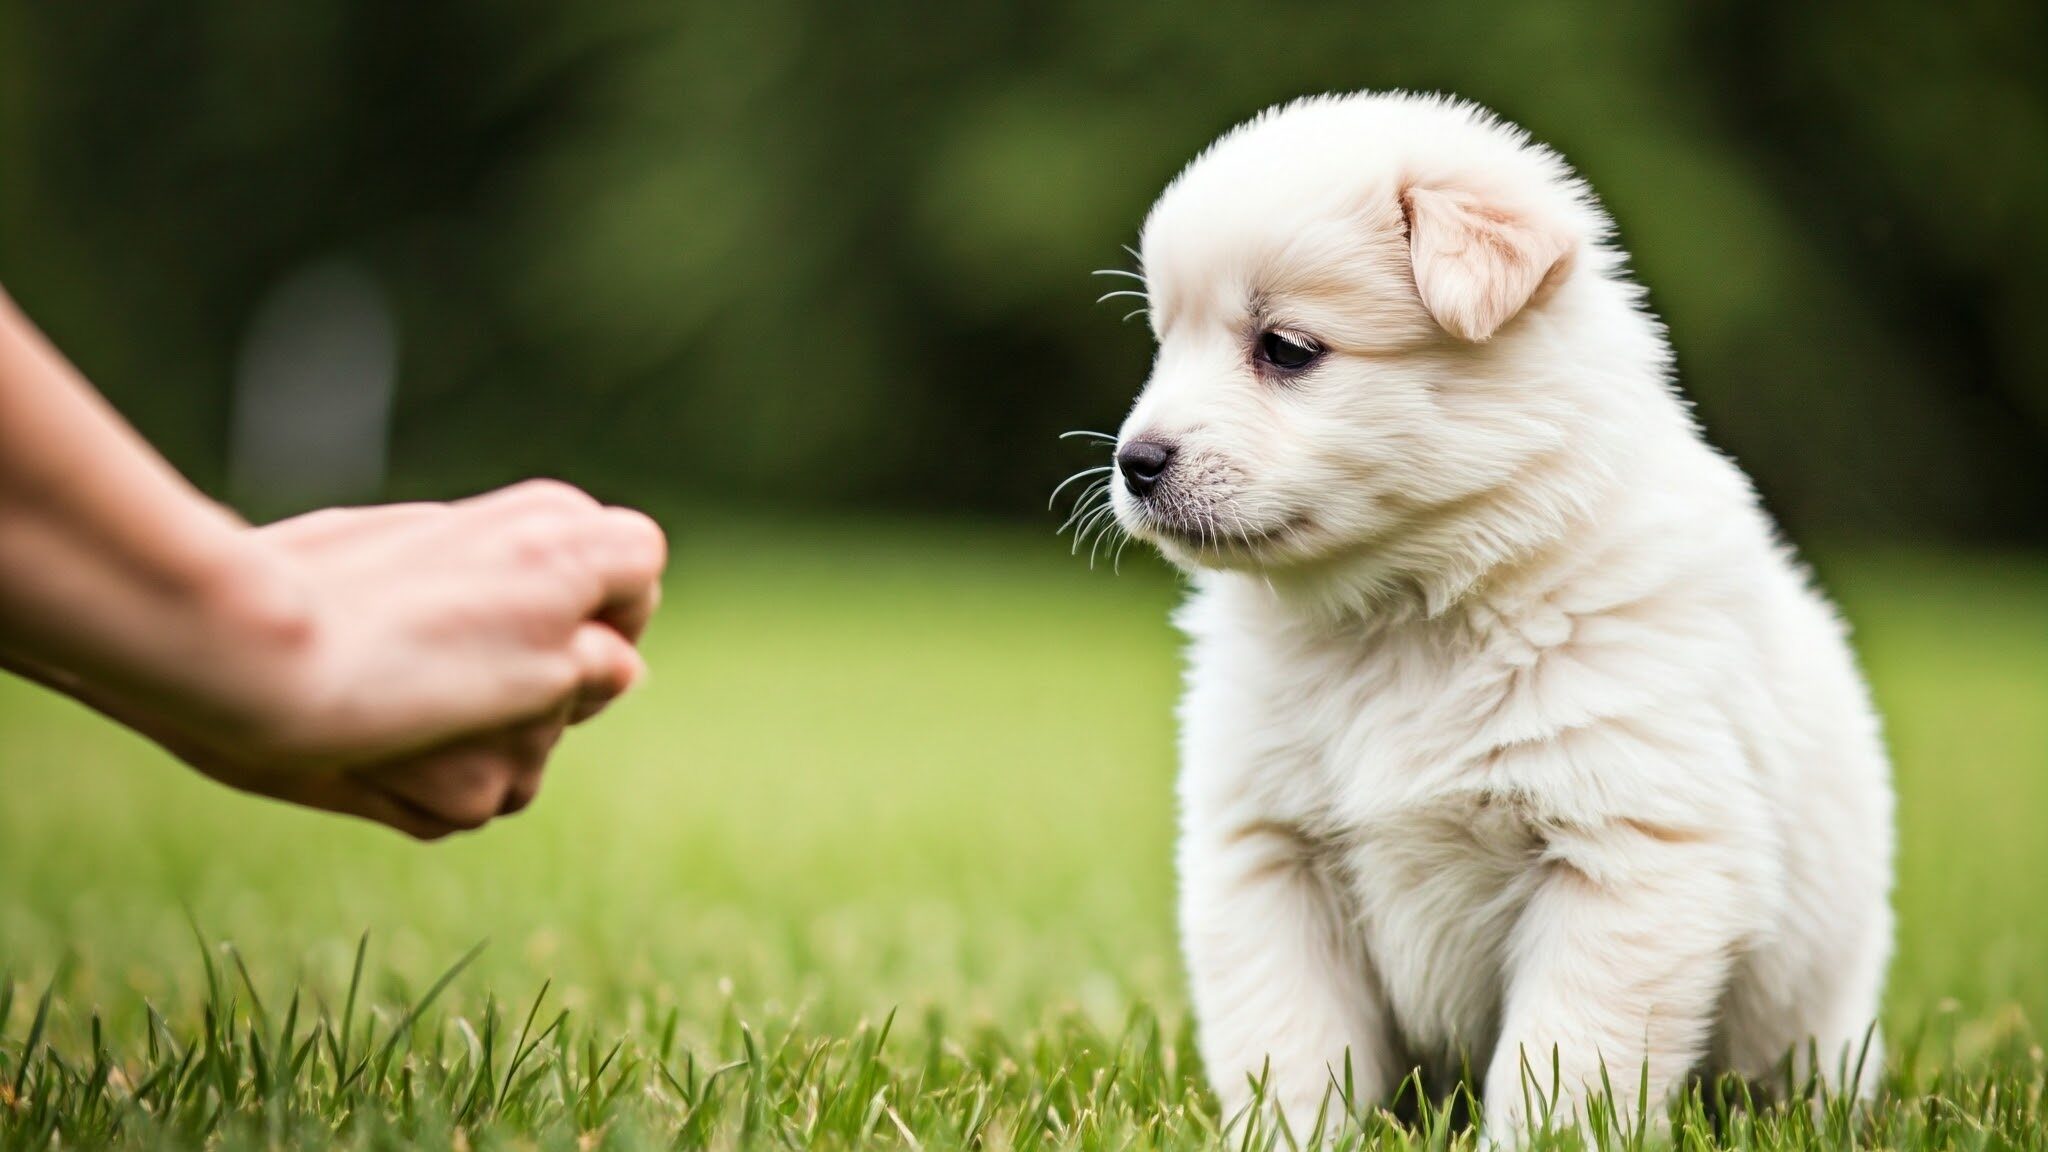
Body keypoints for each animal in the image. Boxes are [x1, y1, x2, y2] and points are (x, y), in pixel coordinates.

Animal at [1097, 94, 1892, 1131]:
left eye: (1285, 349)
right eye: (1165, 342)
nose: (1134, 463)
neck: (1402, 612)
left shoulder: (1628, 856)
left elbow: (1566, 1061)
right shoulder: (1269, 856)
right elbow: (1290, 1043)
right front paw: (1290, 1135)